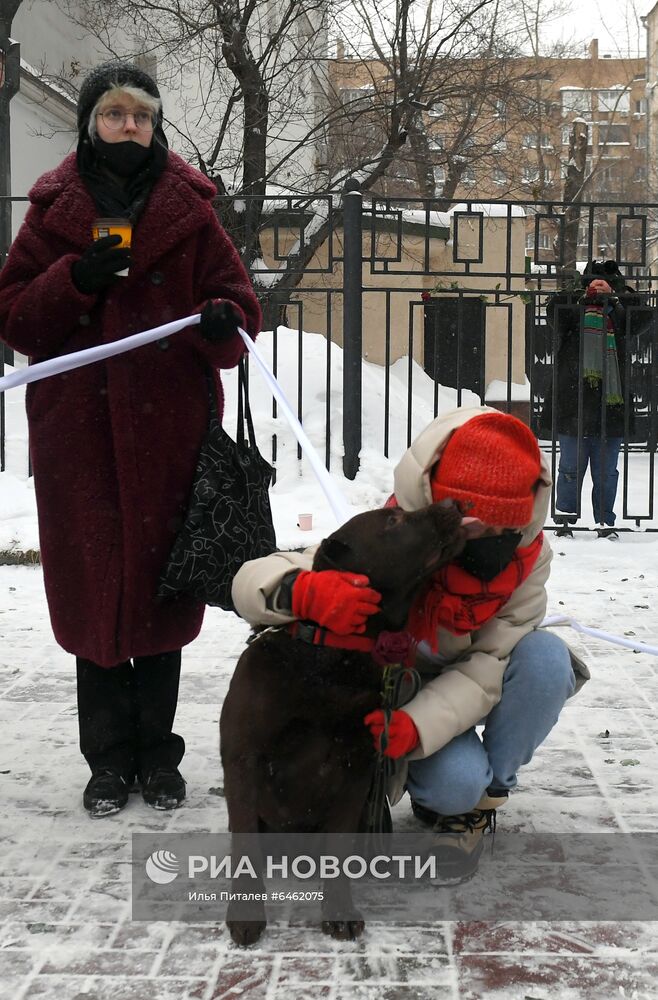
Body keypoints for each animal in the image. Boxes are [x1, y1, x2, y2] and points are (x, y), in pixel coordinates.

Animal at [220, 500, 476, 944]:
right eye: (393, 519)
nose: (454, 504)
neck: (329, 658)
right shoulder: (244, 758)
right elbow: (245, 845)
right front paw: (246, 916)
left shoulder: (356, 766)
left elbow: (337, 851)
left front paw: (339, 912)